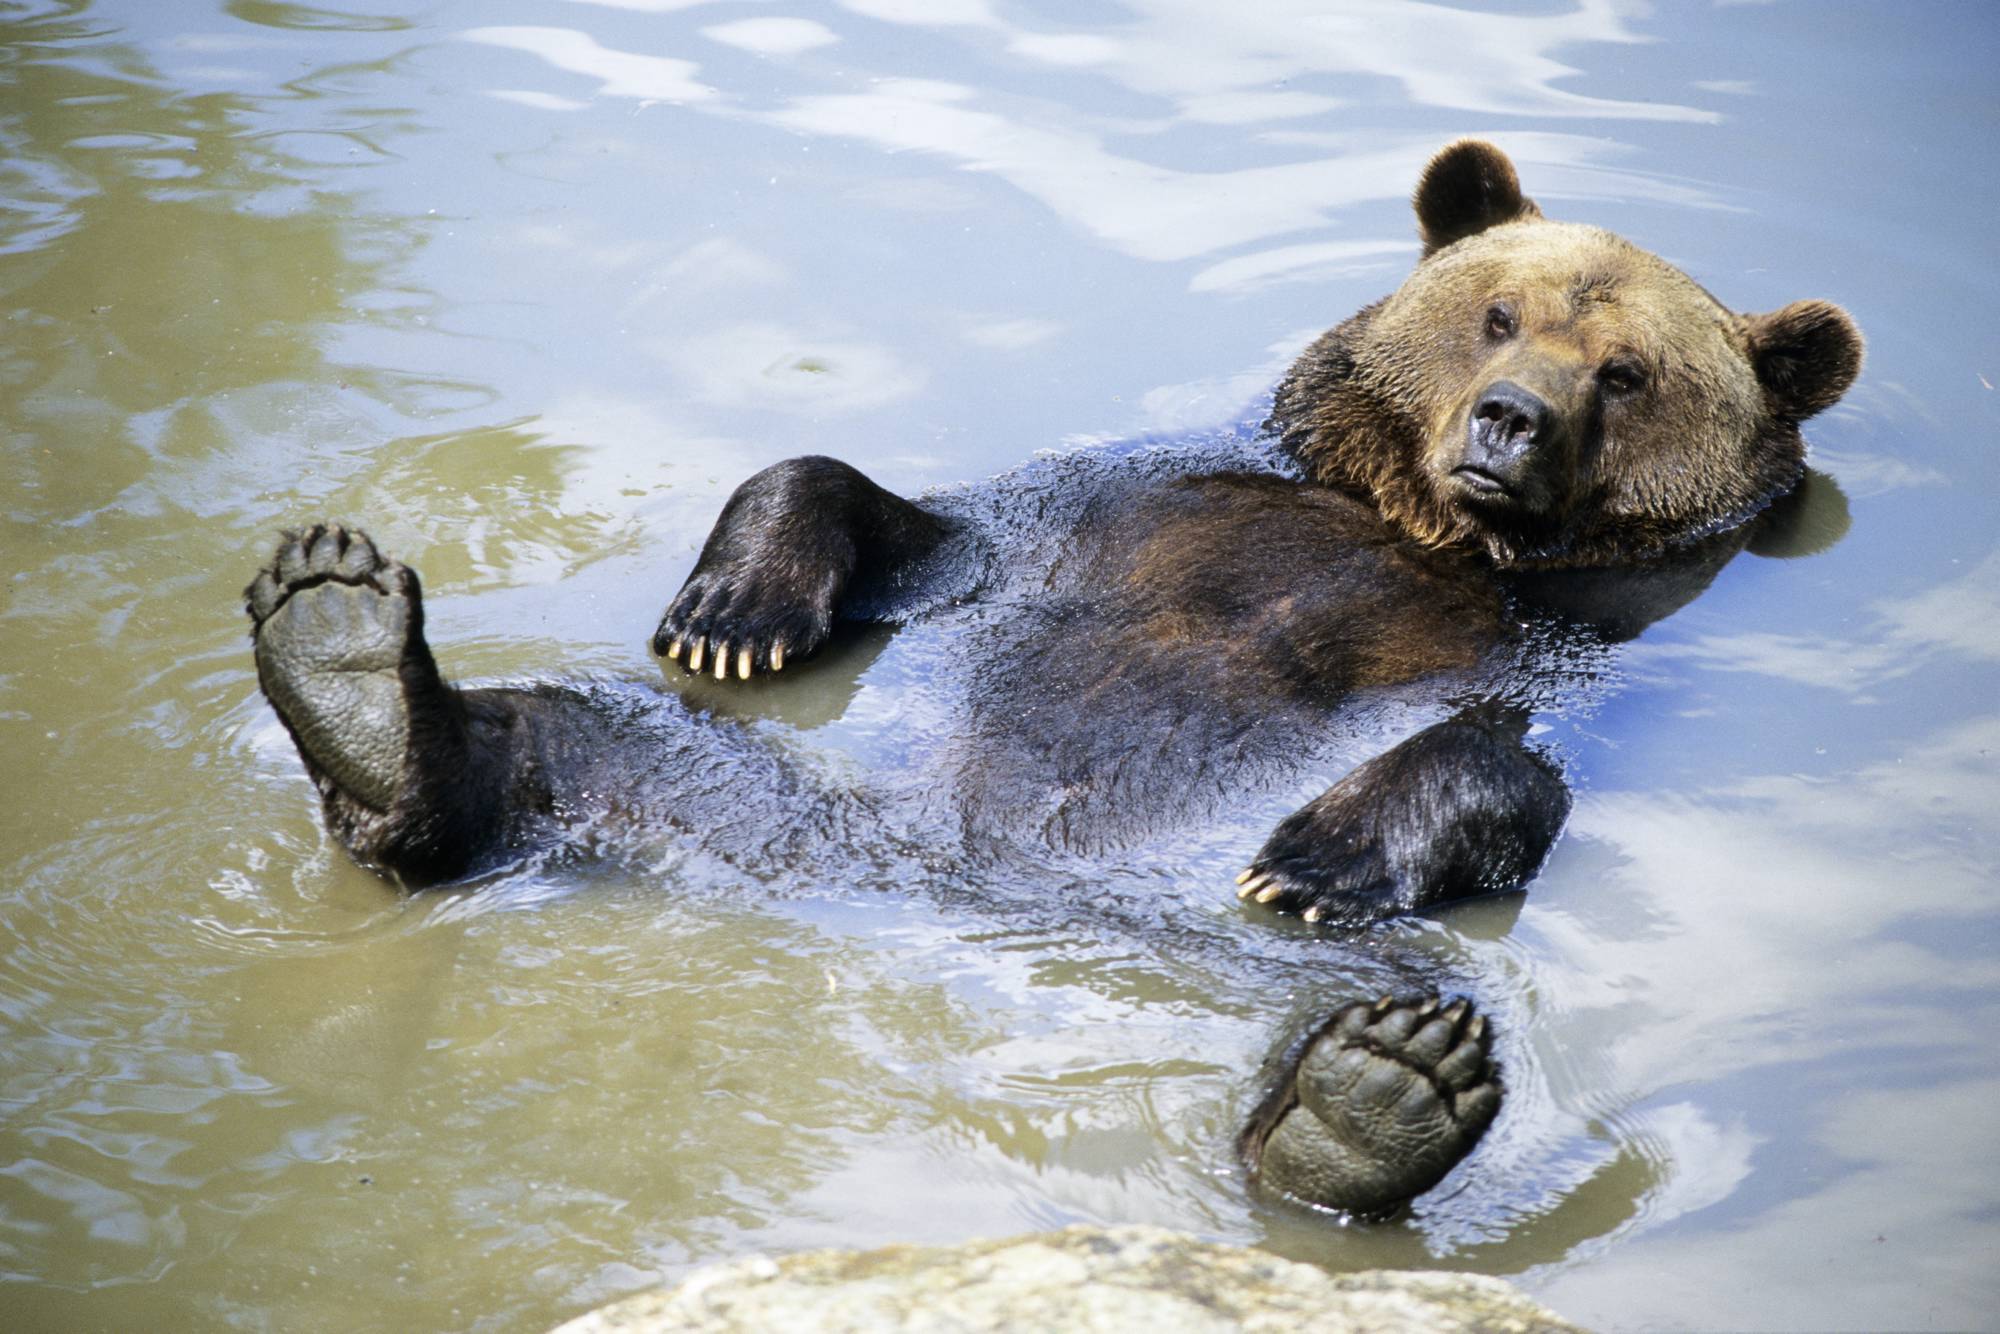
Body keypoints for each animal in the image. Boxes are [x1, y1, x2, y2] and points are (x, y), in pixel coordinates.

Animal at [246, 141, 1856, 1216]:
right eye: (1499, 314)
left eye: (1629, 371)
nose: (1511, 419)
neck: (1407, 522)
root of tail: (942, 882)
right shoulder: (1121, 503)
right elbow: (886, 511)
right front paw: (732, 611)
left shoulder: (1547, 654)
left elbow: (1498, 766)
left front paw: (1315, 853)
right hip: (719, 781)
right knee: (552, 734)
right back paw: (353, 665)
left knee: (1438, 1025)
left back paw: (1370, 1098)